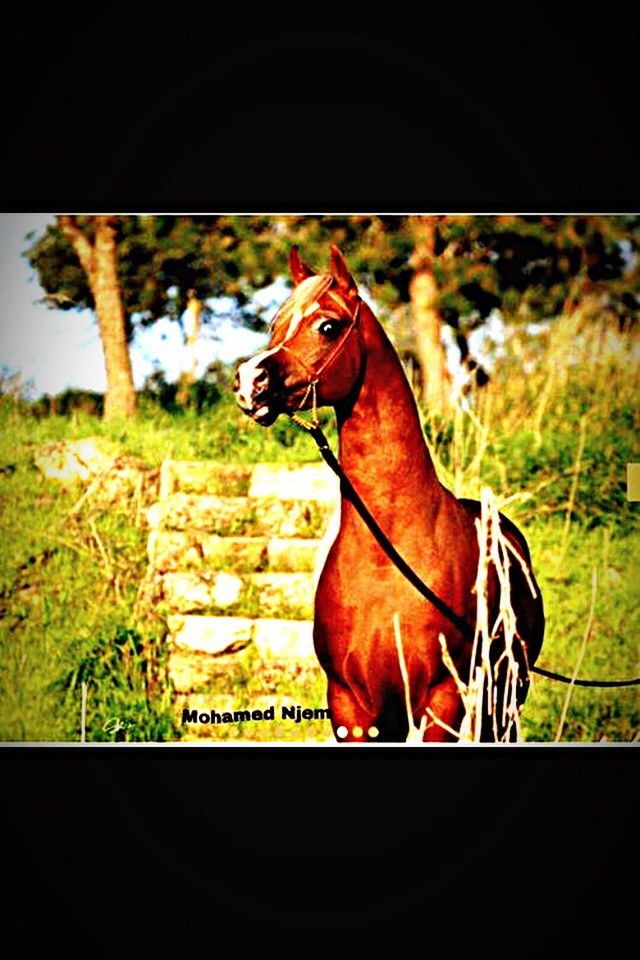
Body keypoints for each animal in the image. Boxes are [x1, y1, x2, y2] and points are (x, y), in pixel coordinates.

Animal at [232, 244, 544, 740]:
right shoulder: (352, 705)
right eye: (275, 325)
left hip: (504, 698)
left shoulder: (441, 699)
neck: (388, 559)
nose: (248, 381)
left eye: (327, 325)